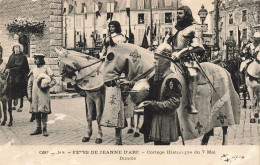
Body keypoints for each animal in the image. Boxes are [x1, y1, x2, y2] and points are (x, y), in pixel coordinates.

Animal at [102, 41, 241, 144]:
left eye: (110, 57)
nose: (107, 82)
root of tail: (225, 70)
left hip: (224, 110)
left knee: (224, 128)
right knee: (209, 129)